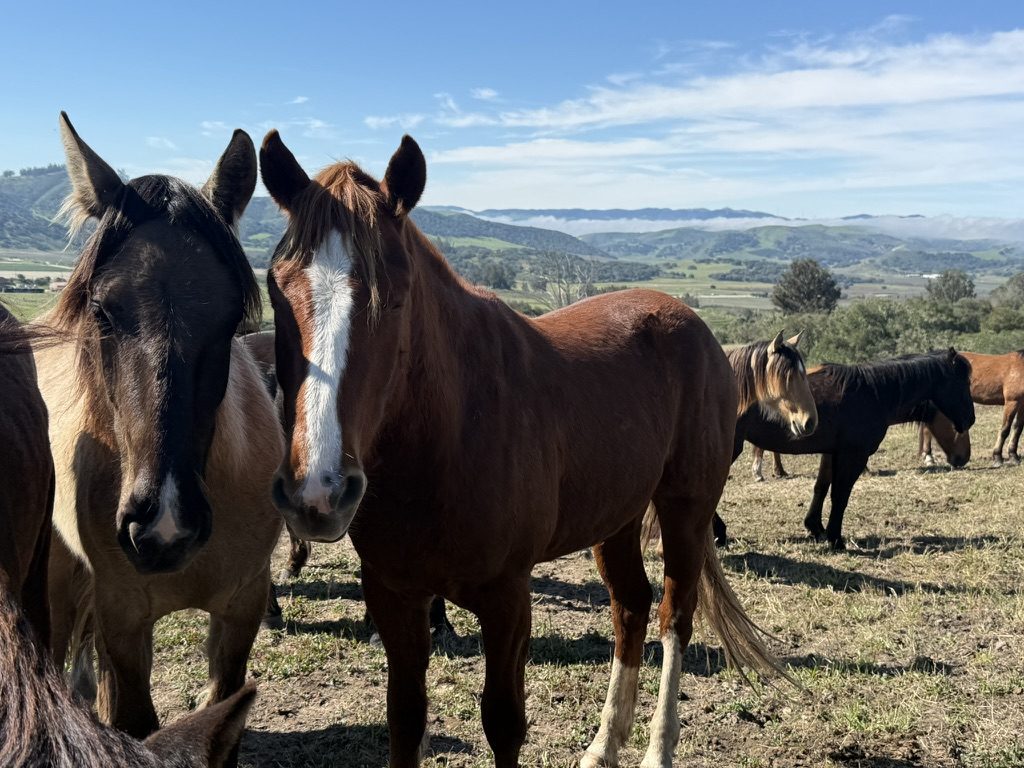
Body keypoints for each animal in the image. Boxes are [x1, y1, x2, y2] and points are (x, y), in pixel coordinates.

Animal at [31, 114, 283, 745]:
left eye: (230, 318)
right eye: (101, 311)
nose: (165, 527)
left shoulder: (242, 607)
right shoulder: (123, 615)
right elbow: (136, 723)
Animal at [259, 130, 784, 768]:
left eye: (397, 298)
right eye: (276, 289)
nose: (319, 491)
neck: (447, 438)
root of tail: (695, 327)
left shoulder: (507, 597)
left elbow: (503, 722)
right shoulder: (394, 595)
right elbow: (405, 719)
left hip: (685, 511)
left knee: (672, 618)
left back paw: (658, 749)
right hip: (617, 517)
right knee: (630, 608)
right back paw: (602, 747)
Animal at [739, 351, 974, 550]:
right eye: (962, 383)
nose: (970, 419)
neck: (872, 394)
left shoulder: (831, 453)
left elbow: (821, 487)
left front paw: (816, 528)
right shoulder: (853, 456)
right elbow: (840, 496)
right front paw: (835, 539)